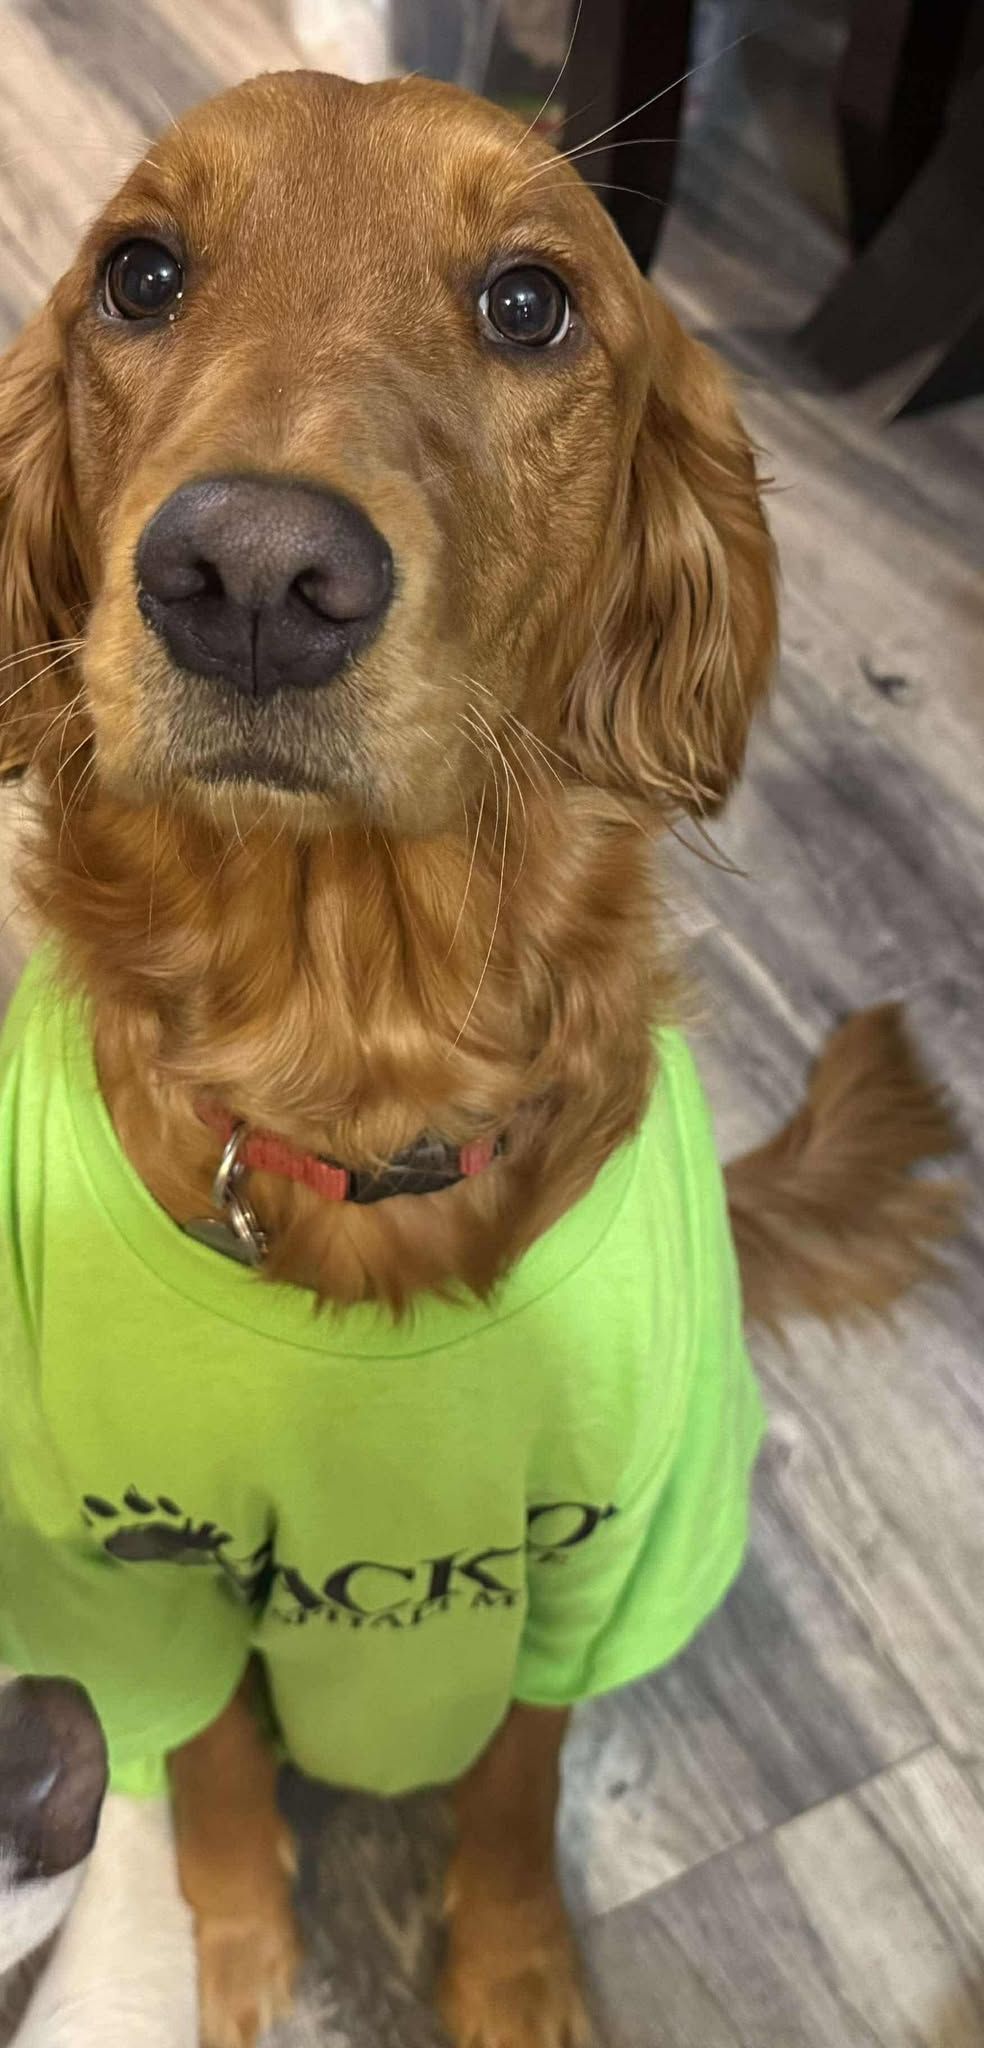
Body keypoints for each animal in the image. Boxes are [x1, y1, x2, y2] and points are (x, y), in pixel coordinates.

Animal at [0, 69, 956, 2048]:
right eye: (141, 272)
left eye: (528, 303)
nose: (250, 576)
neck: (349, 1057)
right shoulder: (119, 1568)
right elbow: (209, 1756)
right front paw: (232, 1951)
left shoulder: (601, 1548)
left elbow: (519, 1769)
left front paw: (514, 1969)